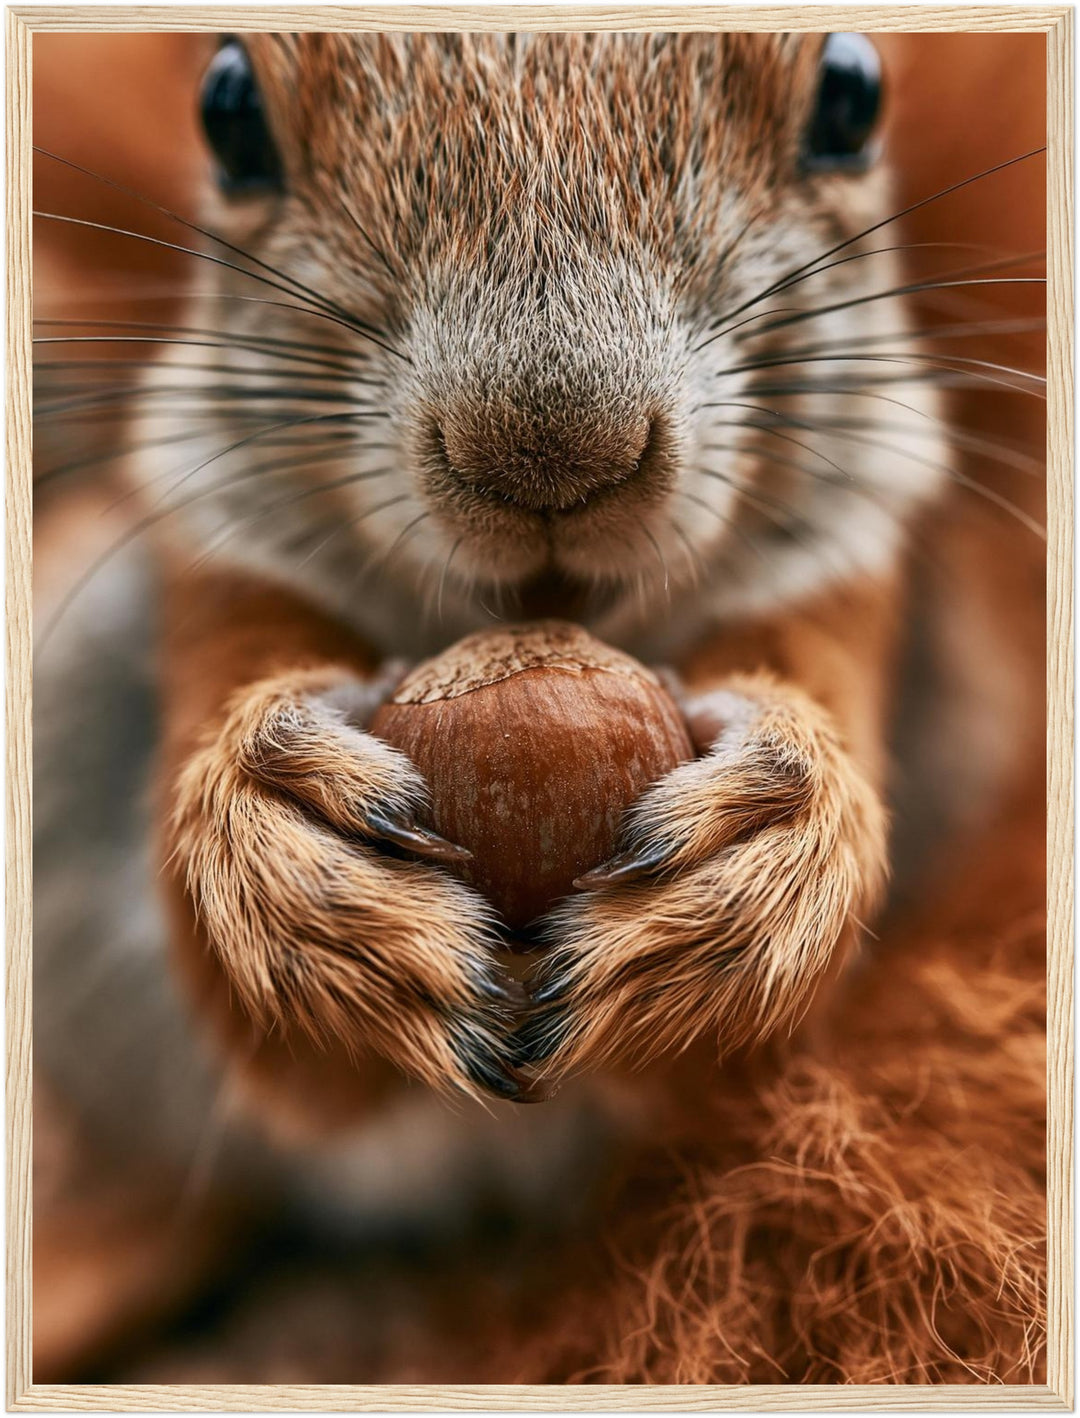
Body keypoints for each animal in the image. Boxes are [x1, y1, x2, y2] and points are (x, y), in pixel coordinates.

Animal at [32, 32, 1045, 1380]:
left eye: (852, 95)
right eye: (229, 111)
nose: (552, 453)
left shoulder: (860, 577)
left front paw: (767, 853)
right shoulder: (216, 564)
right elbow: (274, 1034)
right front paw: (293, 861)